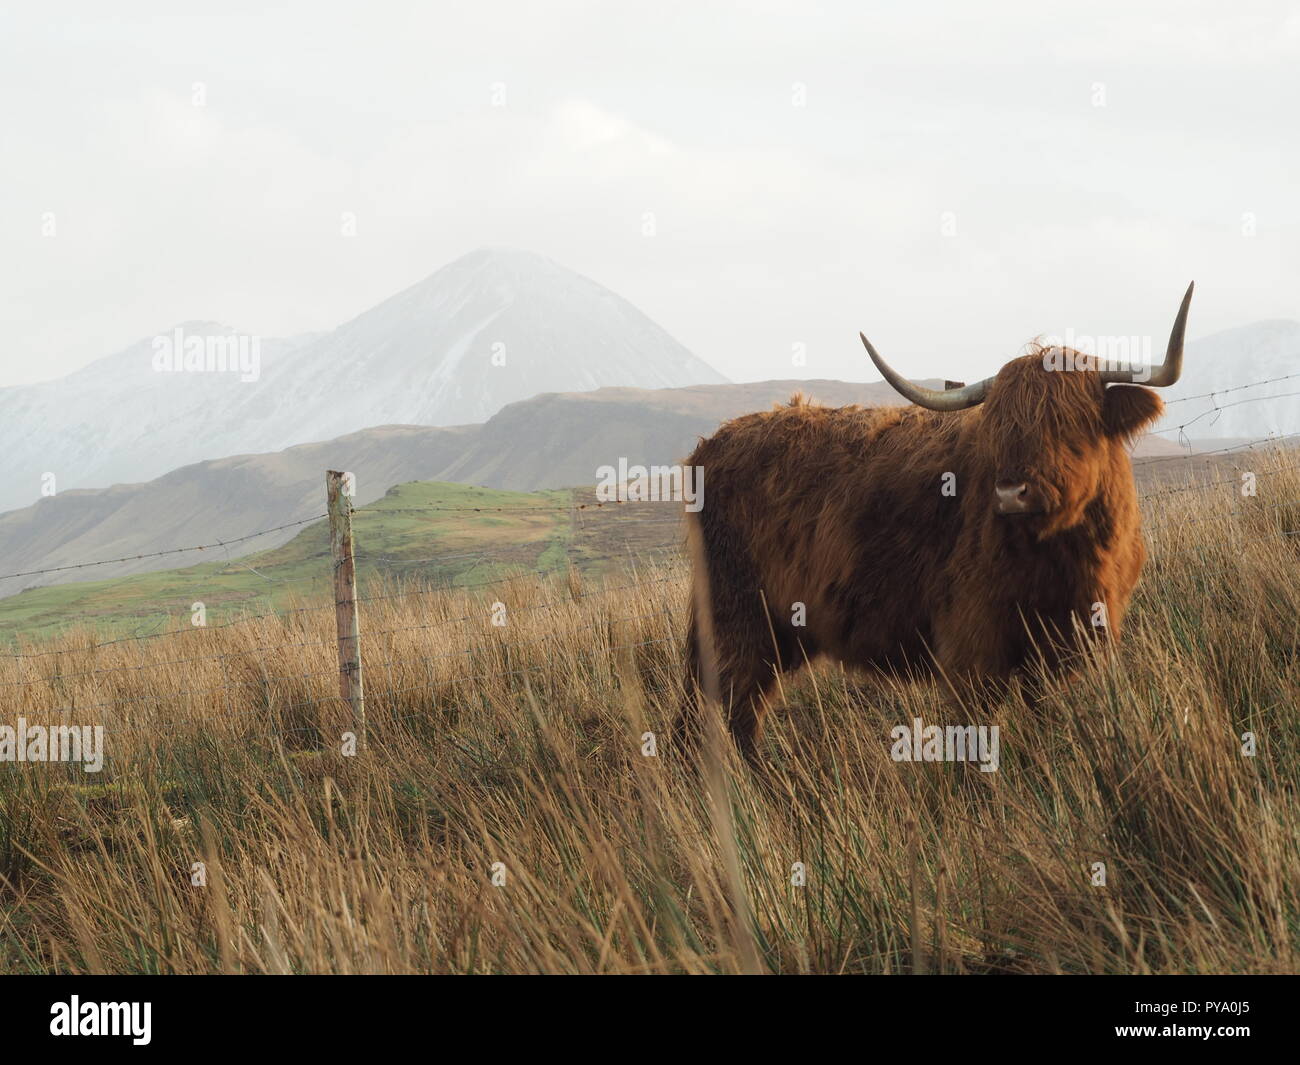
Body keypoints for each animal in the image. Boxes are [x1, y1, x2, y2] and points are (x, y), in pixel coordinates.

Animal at [678, 284, 1194, 760]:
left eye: (1068, 420)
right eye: (1000, 425)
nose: (1011, 493)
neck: (1063, 554)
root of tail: (710, 447)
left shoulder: (1065, 641)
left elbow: (1046, 715)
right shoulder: (973, 644)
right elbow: (975, 734)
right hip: (738, 618)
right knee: (728, 710)